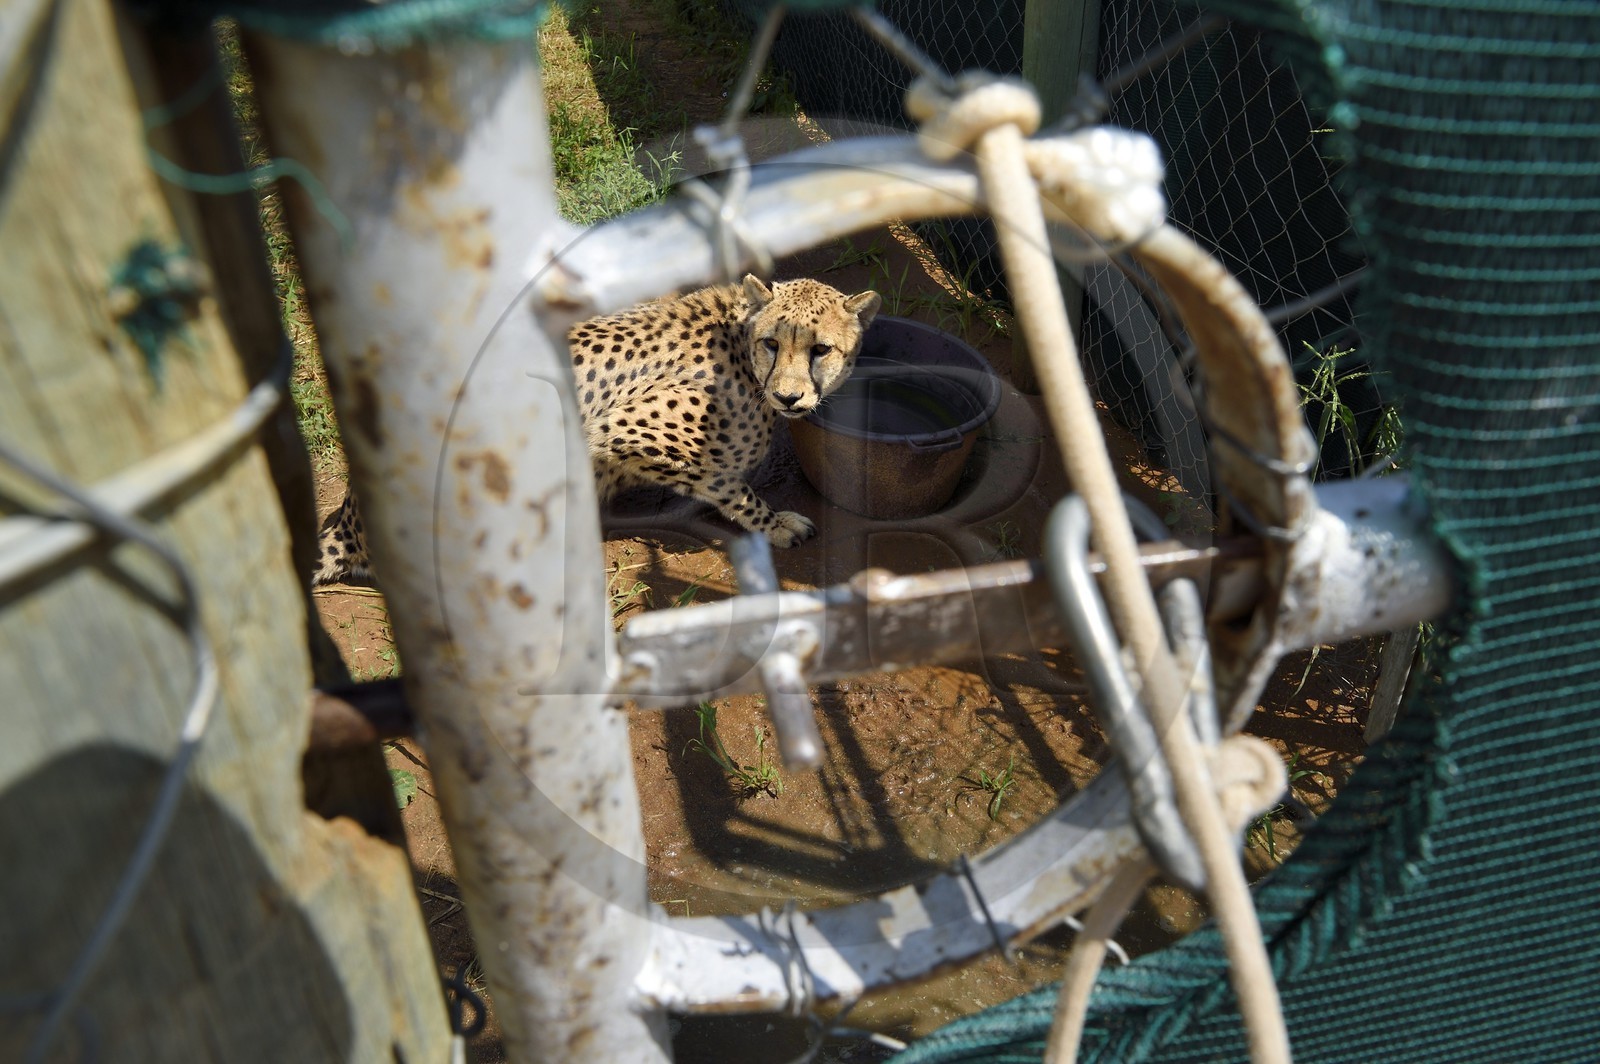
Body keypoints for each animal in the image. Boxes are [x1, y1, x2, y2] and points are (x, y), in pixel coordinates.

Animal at [312, 274, 881, 585]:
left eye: (820, 349)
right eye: (772, 343)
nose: (789, 397)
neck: (742, 349)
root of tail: (350, 517)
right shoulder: (622, 430)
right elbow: (726, 483)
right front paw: (774, 523)